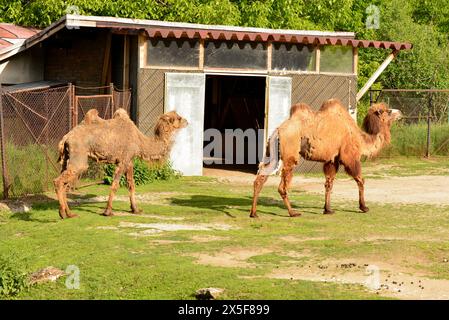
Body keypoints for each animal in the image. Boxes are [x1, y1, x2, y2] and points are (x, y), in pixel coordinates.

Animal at [54, 109, 187, 219]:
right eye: (179, 118)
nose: (187, 121)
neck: (139, 141)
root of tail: (65, 139)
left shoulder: (129, 161)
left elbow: (131, 184)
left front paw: (135, 209)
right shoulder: (123, 160)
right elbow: (115, 185)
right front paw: (108, 212)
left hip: (66, 159)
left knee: (64, 182)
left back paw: (69, 214)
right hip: (79, 158)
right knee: (59, 181)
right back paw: (62, 213)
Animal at [250, 97, 400, 218]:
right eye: (388, 111)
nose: (400, 113)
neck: (360, 138)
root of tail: (278, 130)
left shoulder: (332, 159)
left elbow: (329, 183)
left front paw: (328, 209)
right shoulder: (349, 156)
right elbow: (360, 180)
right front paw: (364, 207)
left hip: (272, 152)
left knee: (260, 177)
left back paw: (254, 213)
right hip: (290, 154)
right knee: (282, 185)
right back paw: (293, 213)